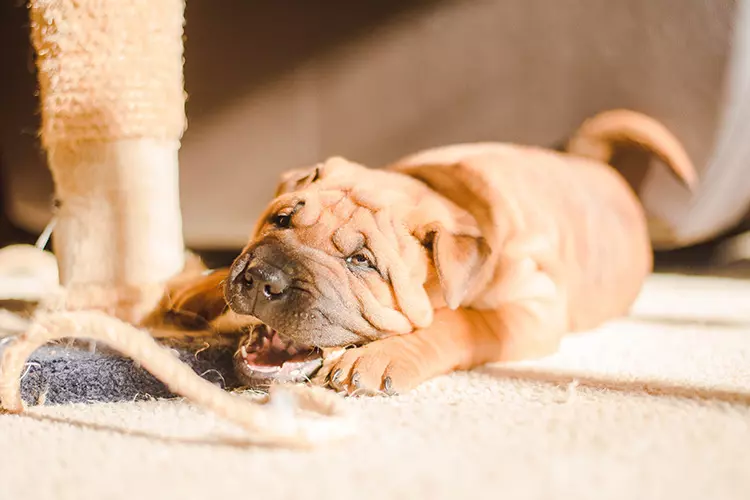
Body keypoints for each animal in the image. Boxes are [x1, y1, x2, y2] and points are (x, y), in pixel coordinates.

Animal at [167, 108, 696, 394]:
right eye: (281, 221)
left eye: (361, 262)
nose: (263, 279)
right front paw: (194, 288)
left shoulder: (534, 307)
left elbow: (462, 322)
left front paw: (376, 359)